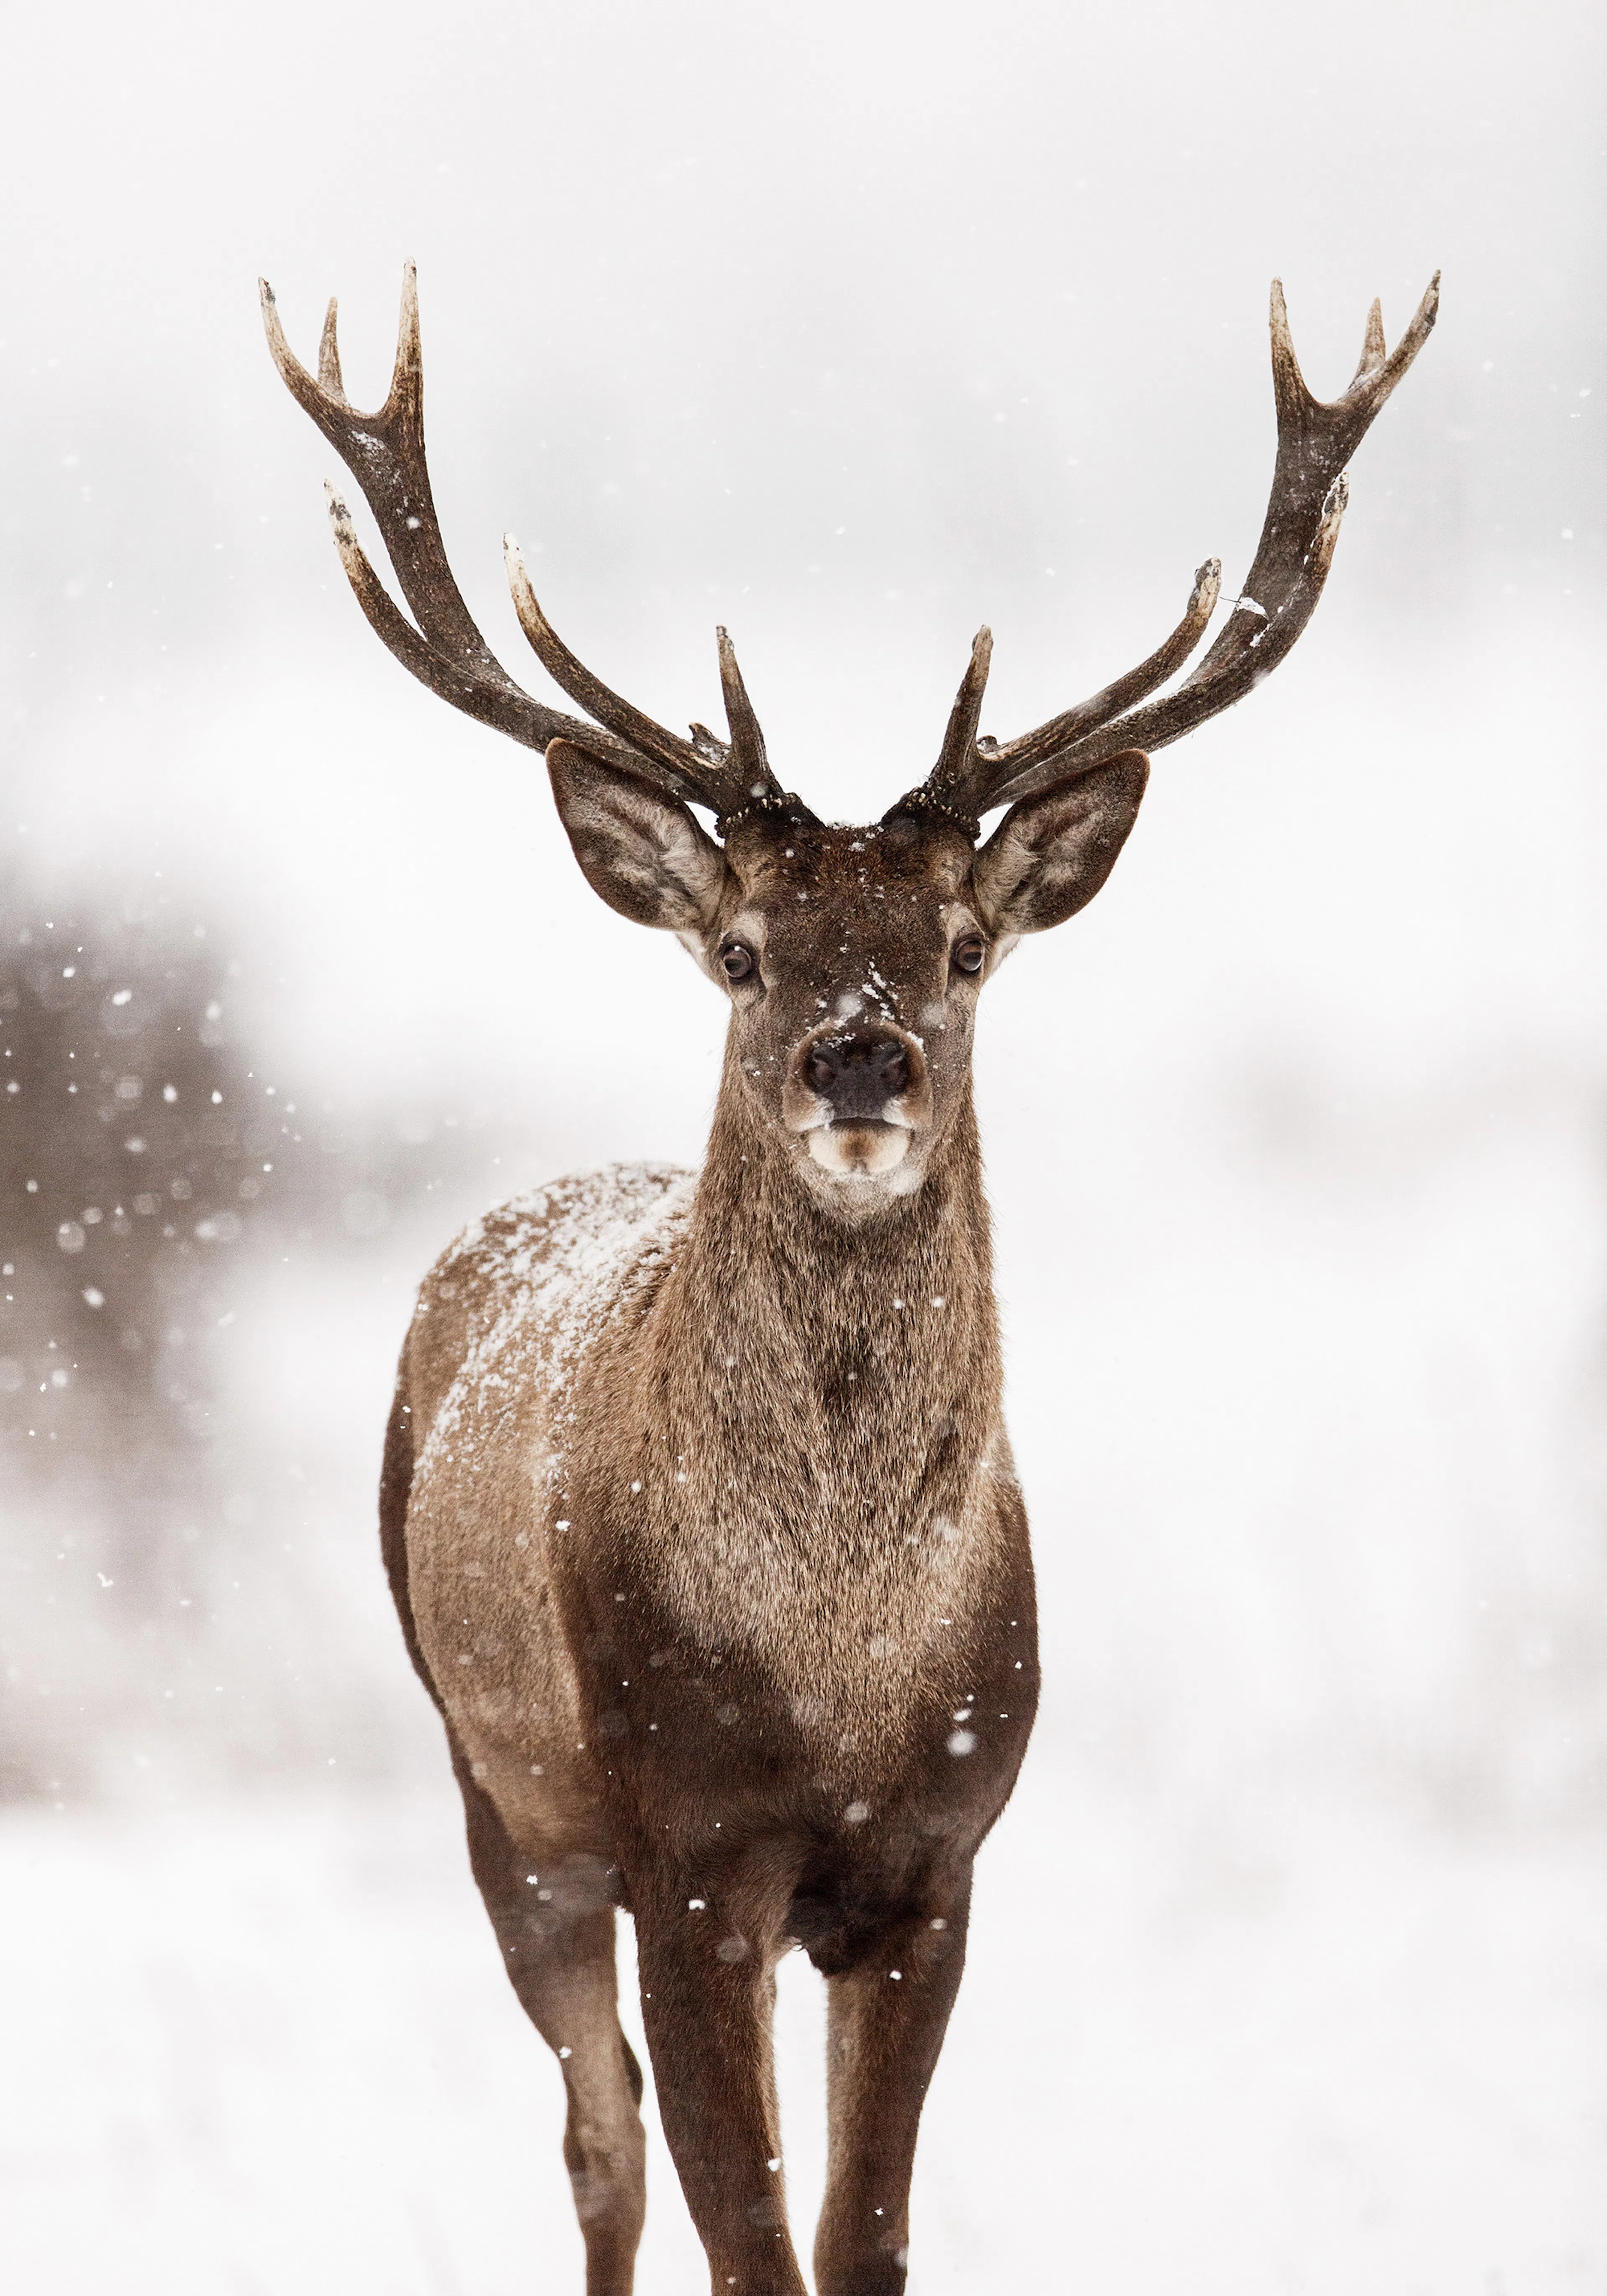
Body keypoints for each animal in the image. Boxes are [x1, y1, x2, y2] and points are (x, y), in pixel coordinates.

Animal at [262, 263, 1437, 2296]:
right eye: (742, 948)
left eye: (960, 943)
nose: (860, 1053)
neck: (837, 1665)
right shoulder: (682, 1843)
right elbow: (749, 2238)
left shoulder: (937, 1855)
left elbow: (860, 2232)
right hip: (498, 1788)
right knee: (597, 2144)